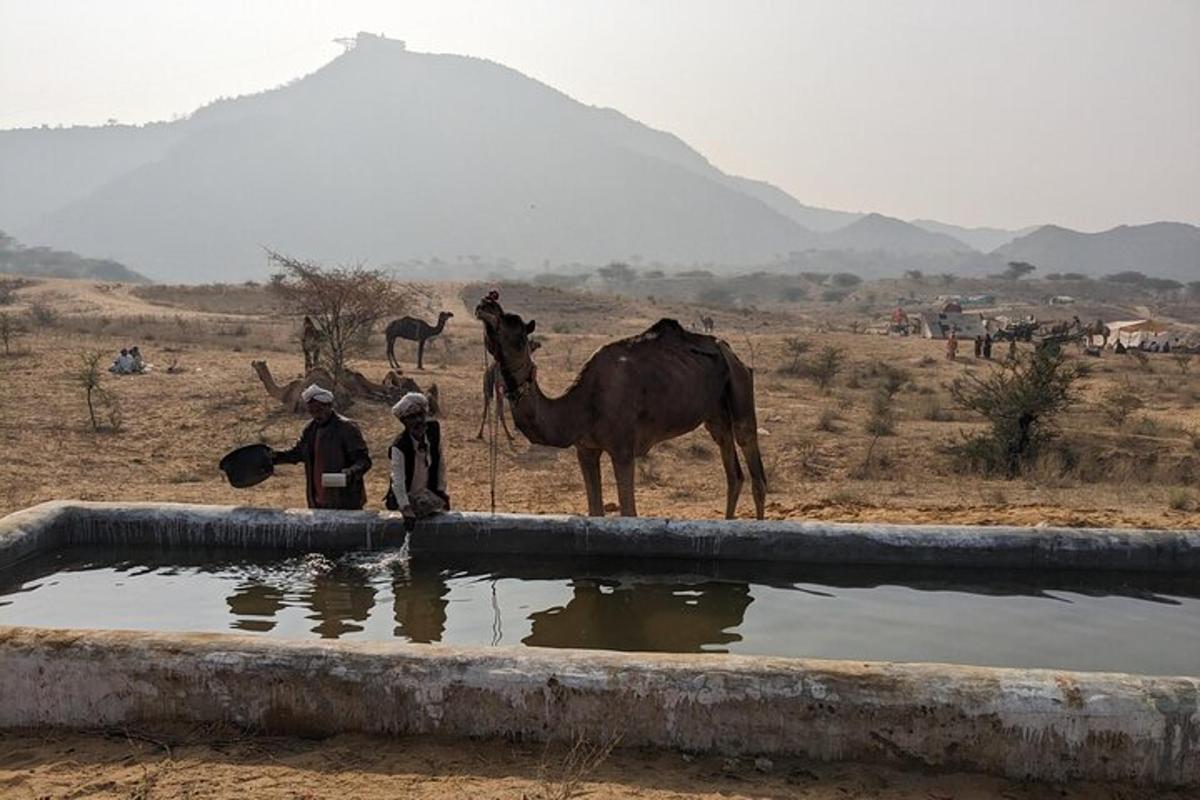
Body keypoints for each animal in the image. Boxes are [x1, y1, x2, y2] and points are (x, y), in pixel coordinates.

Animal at [472, 296, 763, 520]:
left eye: (514, 325)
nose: (486, 304)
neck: (580, 406)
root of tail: (729, 350)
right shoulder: (586, 449)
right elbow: (595, 511)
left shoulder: (623, 450)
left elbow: (628, 512)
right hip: (715, 413)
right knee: (733, 472)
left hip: (739, 383)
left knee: (752, 460)